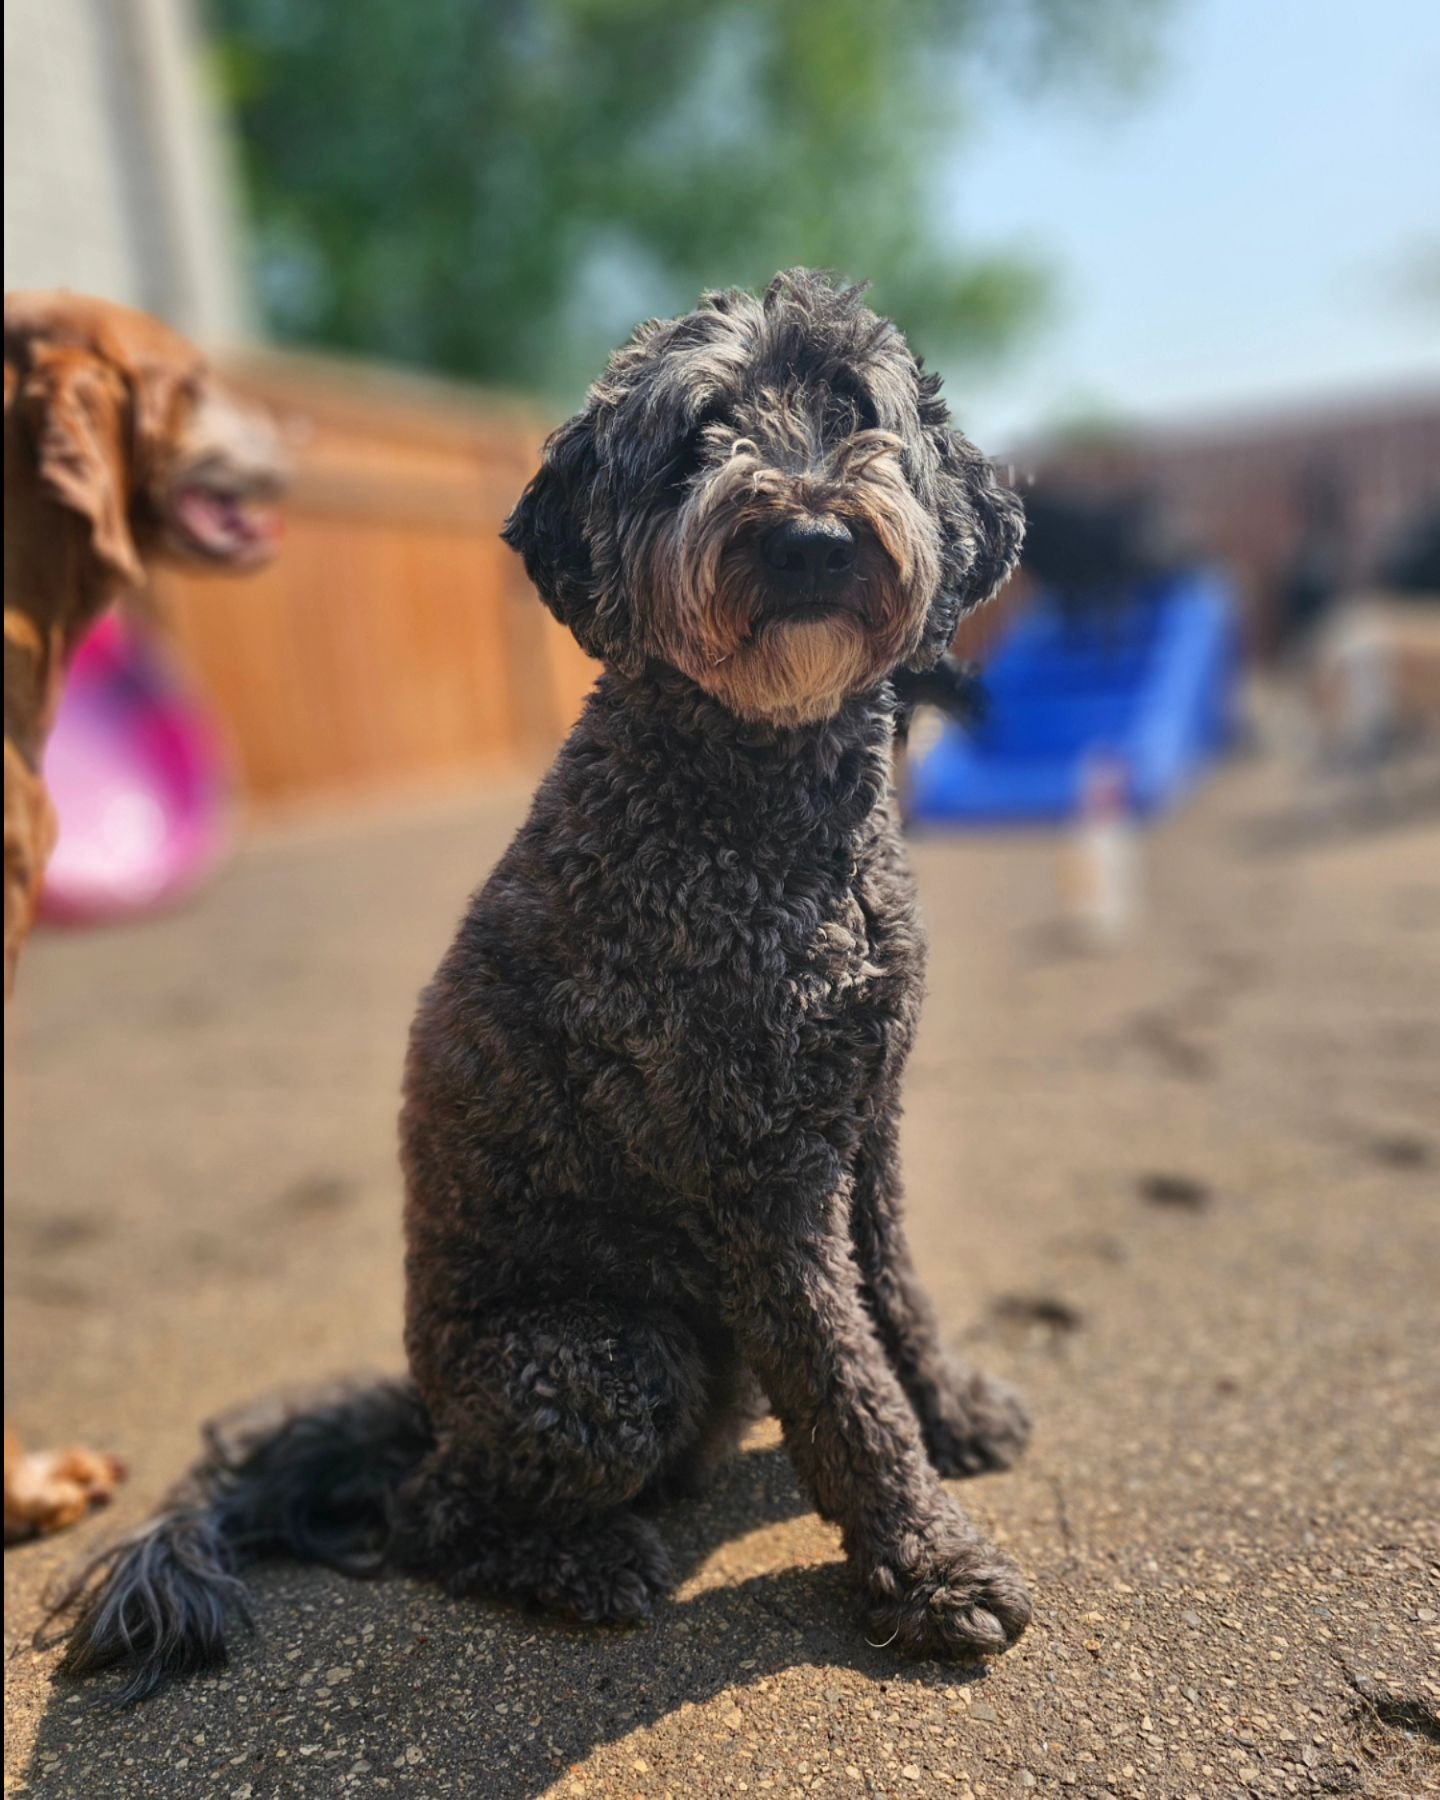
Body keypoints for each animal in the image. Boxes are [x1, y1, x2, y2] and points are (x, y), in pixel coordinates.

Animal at [53, 270, 1036, 1699]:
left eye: (858, 409)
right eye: (698, 436)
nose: (808, 536)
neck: (761, 807)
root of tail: (422, 1411)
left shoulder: (864, 1124)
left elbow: (896, 1295)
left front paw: (951, 1411)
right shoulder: (762, 1177)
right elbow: (846, 1389)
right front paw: (928, 1566)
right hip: (609, 1361)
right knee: (436, 1519)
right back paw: (583, 1563)